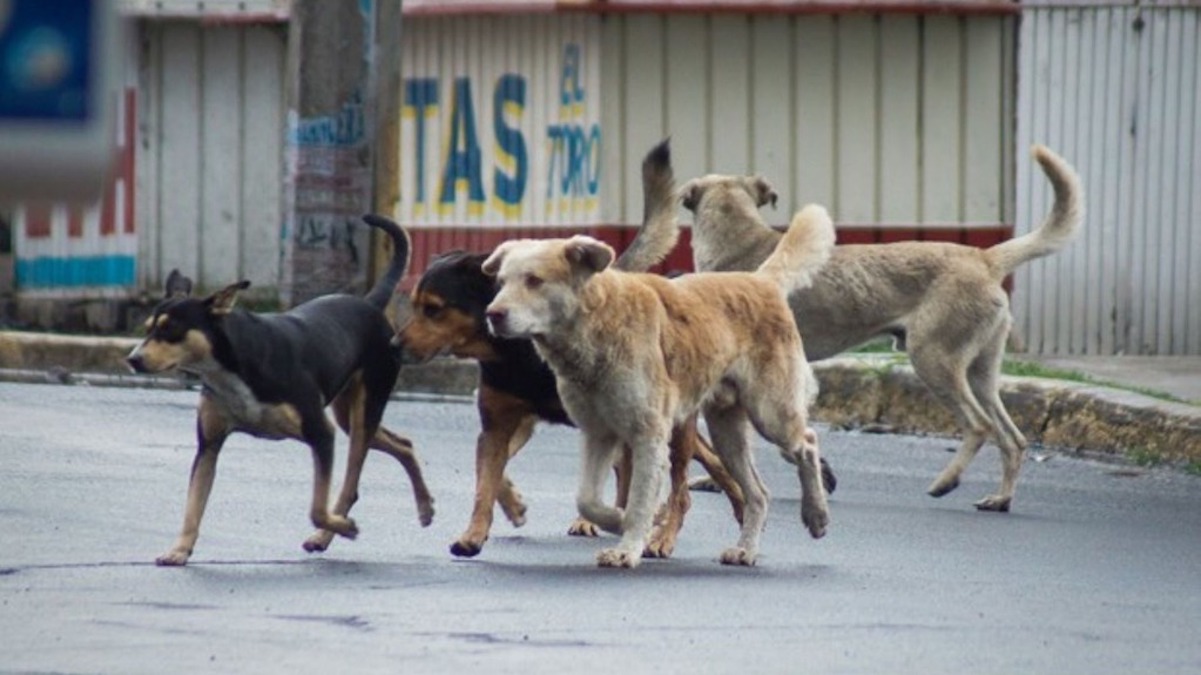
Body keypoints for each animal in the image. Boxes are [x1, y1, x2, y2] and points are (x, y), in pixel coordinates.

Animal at [126, 213, 434, 562]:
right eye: (148, 329)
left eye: (170, 330)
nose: (133, 359)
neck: (230, 366)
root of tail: (369, 303)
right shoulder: (209, 445)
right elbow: (193, 505)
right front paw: (179, 550)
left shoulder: (321, 433)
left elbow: (317, 508)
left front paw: (343, 526)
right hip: (349, 413)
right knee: (402, 444)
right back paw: (424, 507)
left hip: (365, 406)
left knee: (350, 484)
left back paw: (329, 533)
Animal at [477, 201, 835, 564]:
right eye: (501, 282)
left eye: (534, 280)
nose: (493, 314)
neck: (598, 324)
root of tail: (760, 280)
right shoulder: (598, 433)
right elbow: (587, 499)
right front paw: (617, 522)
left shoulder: (648, 433)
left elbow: (638, 499)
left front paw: (628, 548)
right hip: (726, 432)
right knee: (759, 493)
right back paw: (746, 549)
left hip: (771, 413)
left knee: (807, 442)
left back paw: (816, 515)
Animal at [677, 142, 1090, 509]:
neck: (740, 239)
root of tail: (984, 257)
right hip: (981, 372)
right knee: (1013, 438)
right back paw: (1000, 499)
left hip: (933, 359)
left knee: (979, 426)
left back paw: (946, 481)